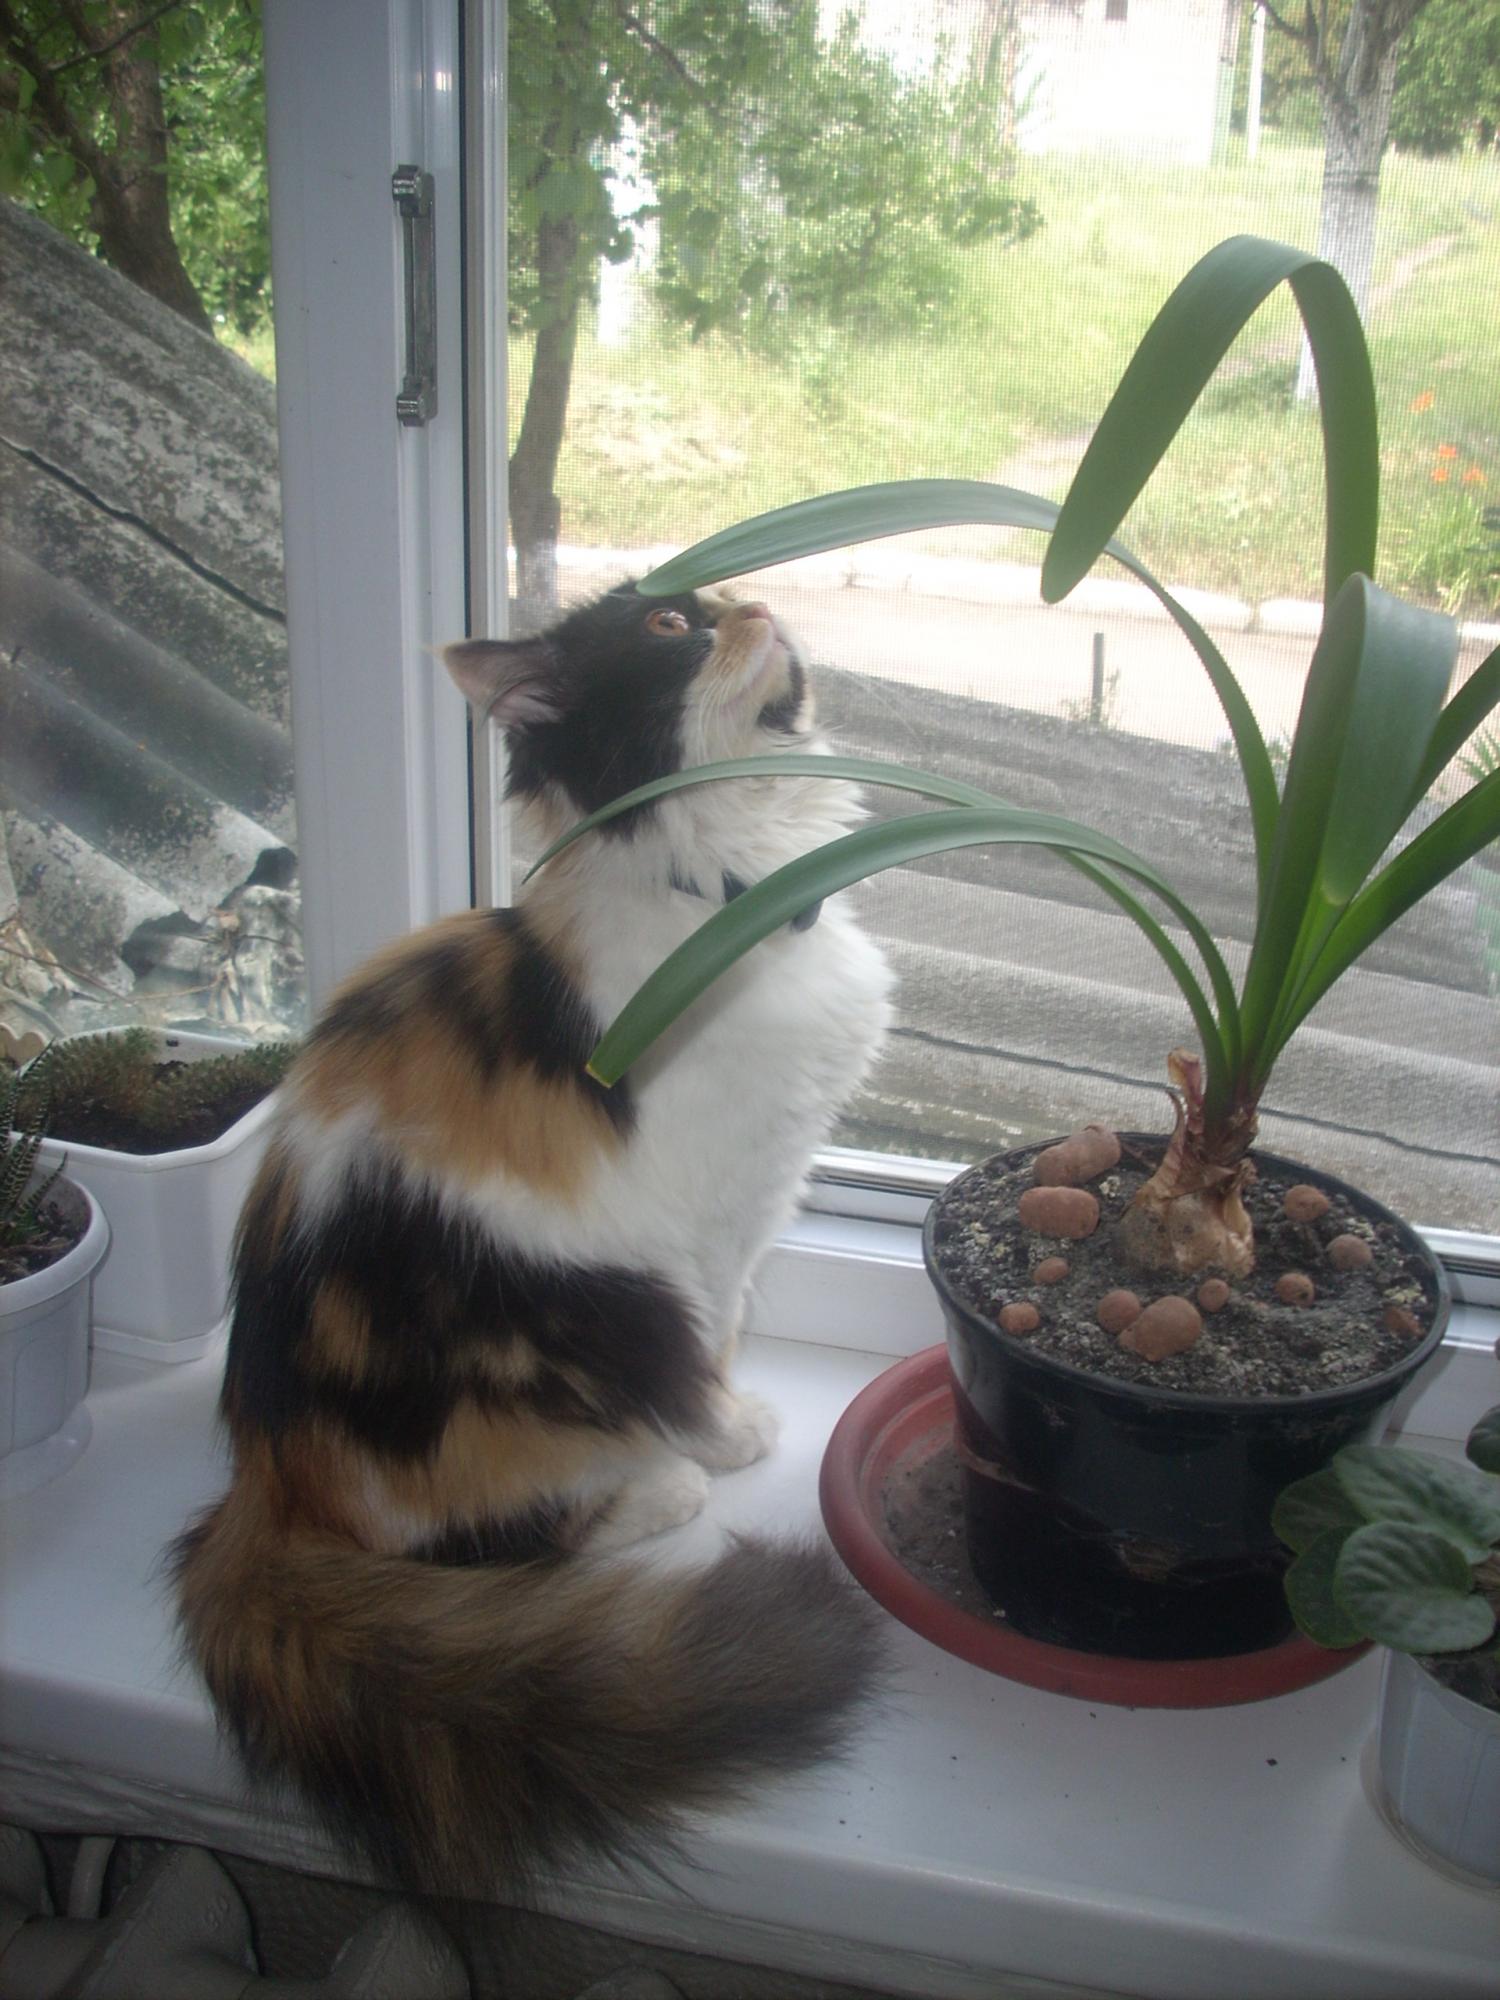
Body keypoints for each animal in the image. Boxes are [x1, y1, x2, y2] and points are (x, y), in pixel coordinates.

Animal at [171, 581, 894, 1900]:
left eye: (713, 600)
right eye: (668, 627)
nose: (755, 597)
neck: (731, 886)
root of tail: (263, 1481)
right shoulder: (703, 1234)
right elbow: (705, 1360)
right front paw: (734, 1434)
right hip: (554, 1346)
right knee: (510, 1537)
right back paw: (657, 1487)